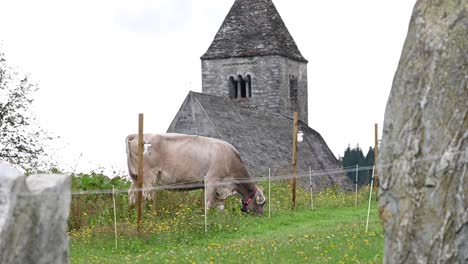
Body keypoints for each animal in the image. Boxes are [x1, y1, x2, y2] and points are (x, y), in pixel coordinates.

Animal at [124, 133, 266, 216]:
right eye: (263, 203)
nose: (261, 215)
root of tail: (135, 135)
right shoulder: (211, 180)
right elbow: (208, 203)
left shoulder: (220, 189)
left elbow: (220, 206)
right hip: (149, 176)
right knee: (148, 197)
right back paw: (151, 216)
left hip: (135, 177)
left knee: (132, 194)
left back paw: (130, 213)